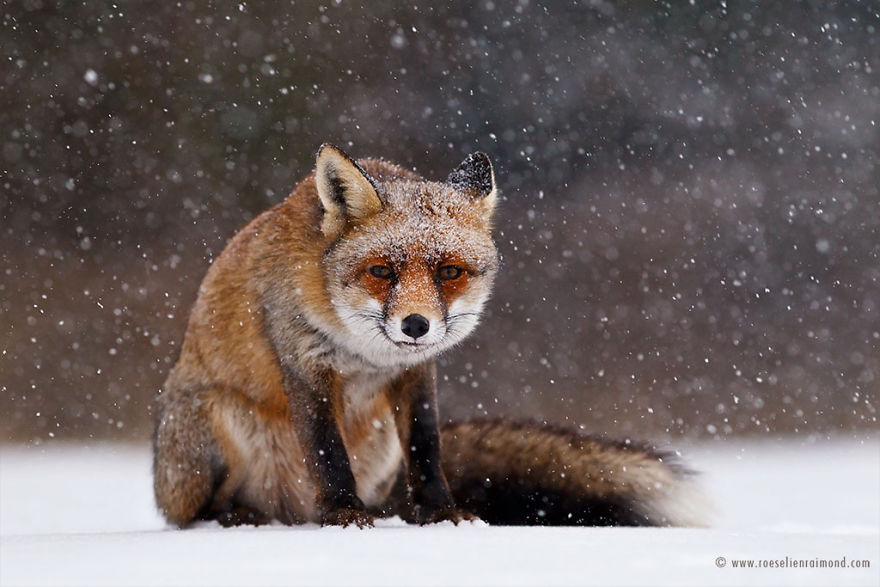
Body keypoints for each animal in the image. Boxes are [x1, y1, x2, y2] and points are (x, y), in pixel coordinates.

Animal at [153, 144, 707, 528]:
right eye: (381, 271)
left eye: (449, 272)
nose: (415, 325)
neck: (365, 352)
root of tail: (291, 512)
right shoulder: (305, 365)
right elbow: (328, 454)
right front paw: (344, 515)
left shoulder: (416, 372)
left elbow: (426, 447)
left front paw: (441, 515)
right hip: (216, 427)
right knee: (192, 512)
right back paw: (242, 517)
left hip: (380, 449)